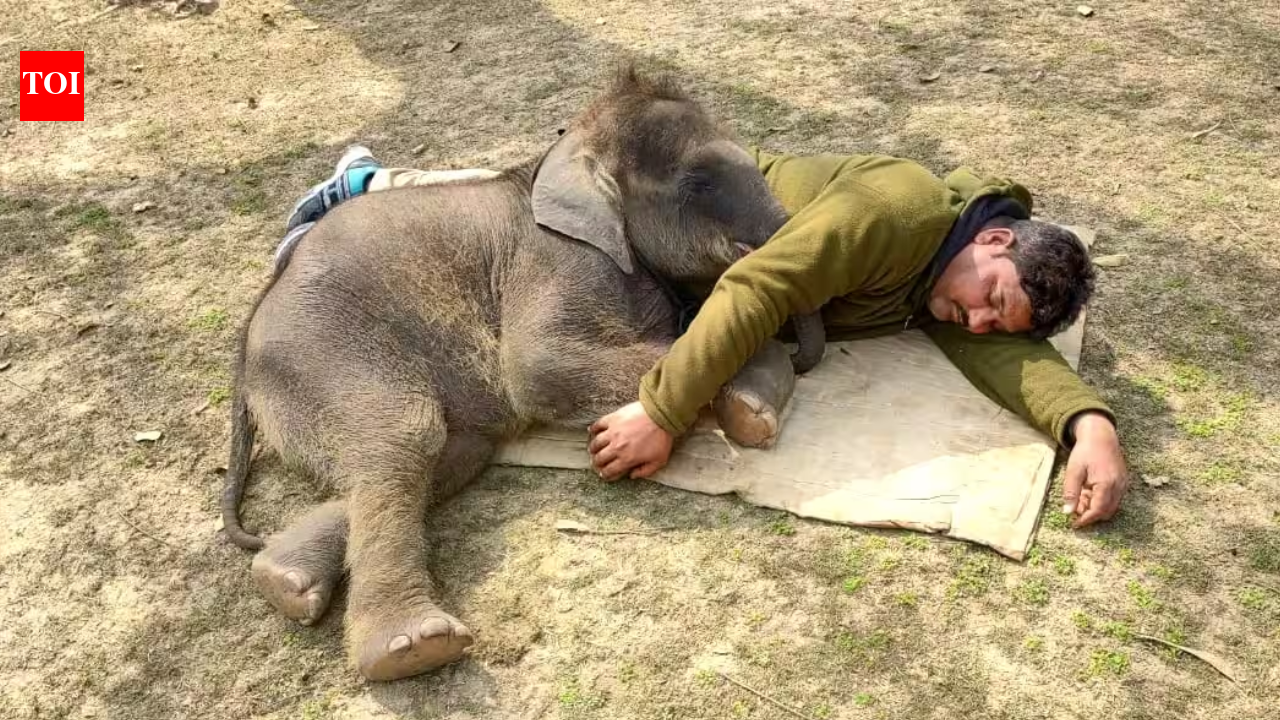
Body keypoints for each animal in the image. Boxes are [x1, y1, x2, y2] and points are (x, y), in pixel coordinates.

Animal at [219, 66, 825, 682]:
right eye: (698, 182)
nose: (805, 350)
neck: (563, 155)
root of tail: (246, 347)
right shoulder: (556, 259)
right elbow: (538, 368)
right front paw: (753, 396)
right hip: (323, 353)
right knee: (405, 437)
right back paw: (411, 649)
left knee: (447, 453)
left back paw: (286, 581)